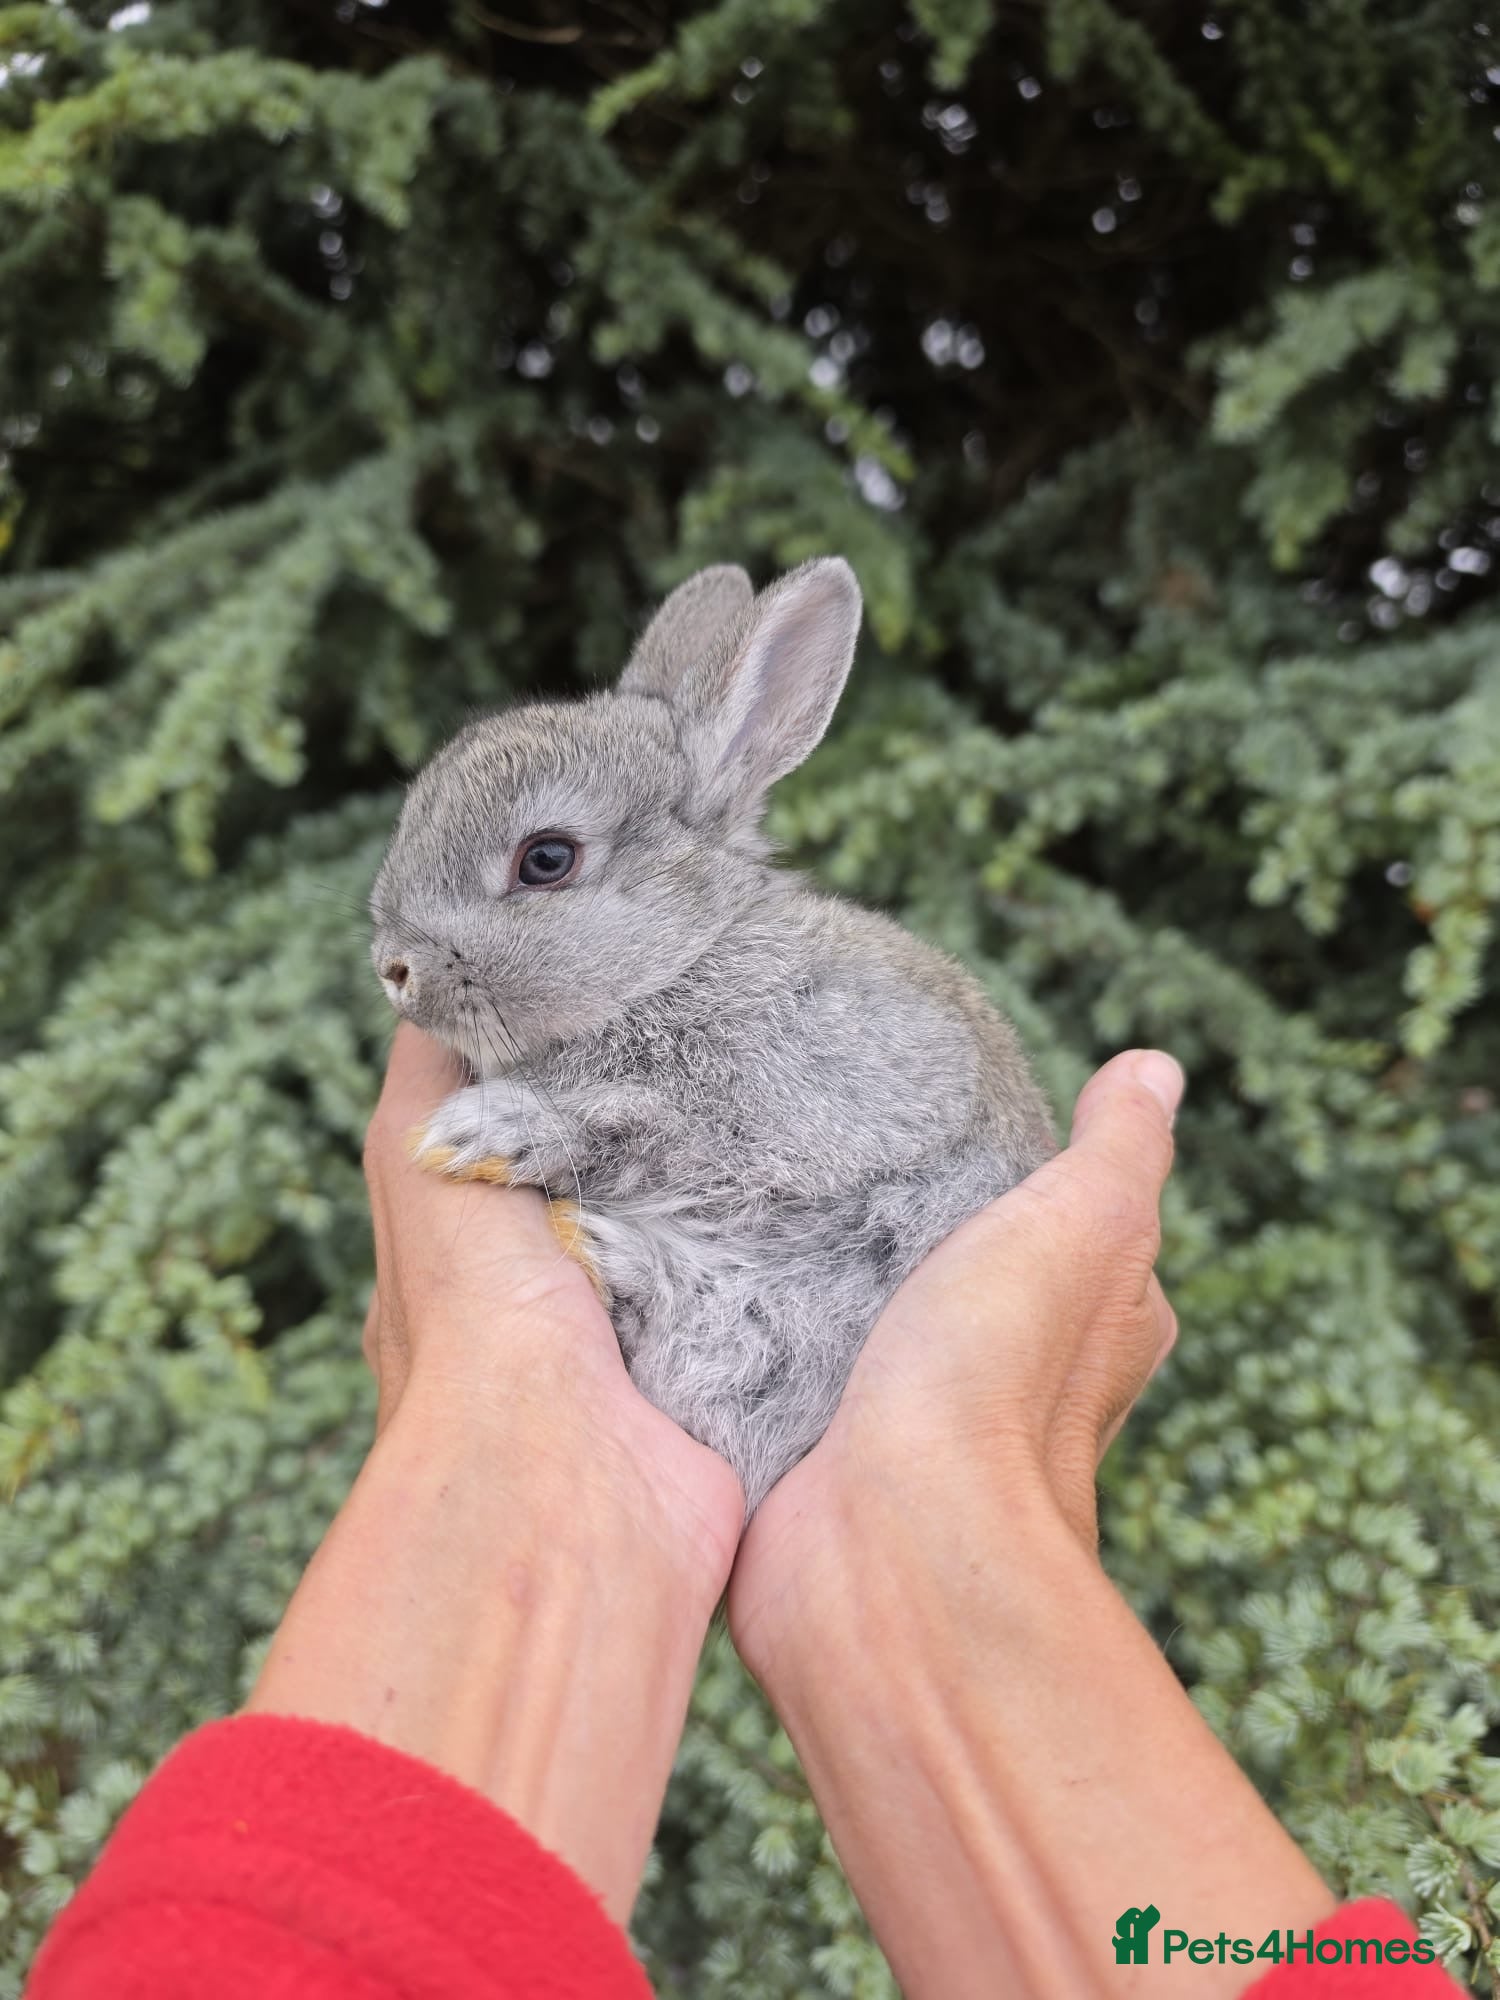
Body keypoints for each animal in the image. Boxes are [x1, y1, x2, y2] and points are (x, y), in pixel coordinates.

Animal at [369, 559, 1056, 1512]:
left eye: (546, 859)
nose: (392, 967)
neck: (677, 961)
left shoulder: (817, 1104)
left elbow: (653, 1129)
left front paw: (484, 1132)